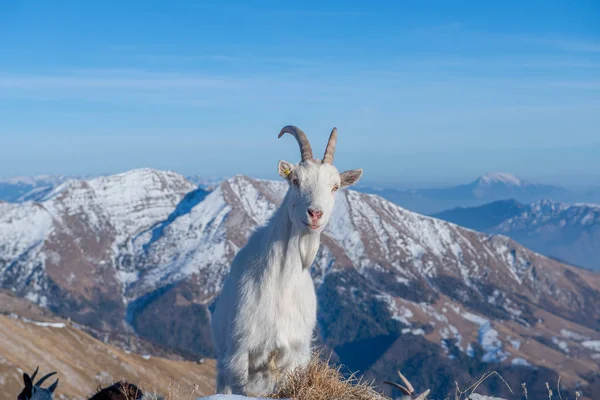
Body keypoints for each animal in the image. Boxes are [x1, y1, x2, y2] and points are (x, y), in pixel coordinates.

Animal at [211, 126, 360, 396]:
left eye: (335, 186)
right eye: (295, 180)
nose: (315, 214)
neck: (282, 281)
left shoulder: (294, 354)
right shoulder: (240, 351)